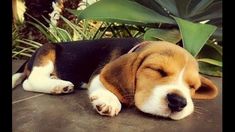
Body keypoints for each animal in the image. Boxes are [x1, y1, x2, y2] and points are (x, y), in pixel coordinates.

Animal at [12, 37, 218, 120]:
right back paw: (59, 85)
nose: (178, 102)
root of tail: (30, 58)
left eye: (193, 86)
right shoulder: (100, 72)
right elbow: (103, 85)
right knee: (29, 82)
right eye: (157, 70)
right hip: (48, 50)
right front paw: (109, 101)